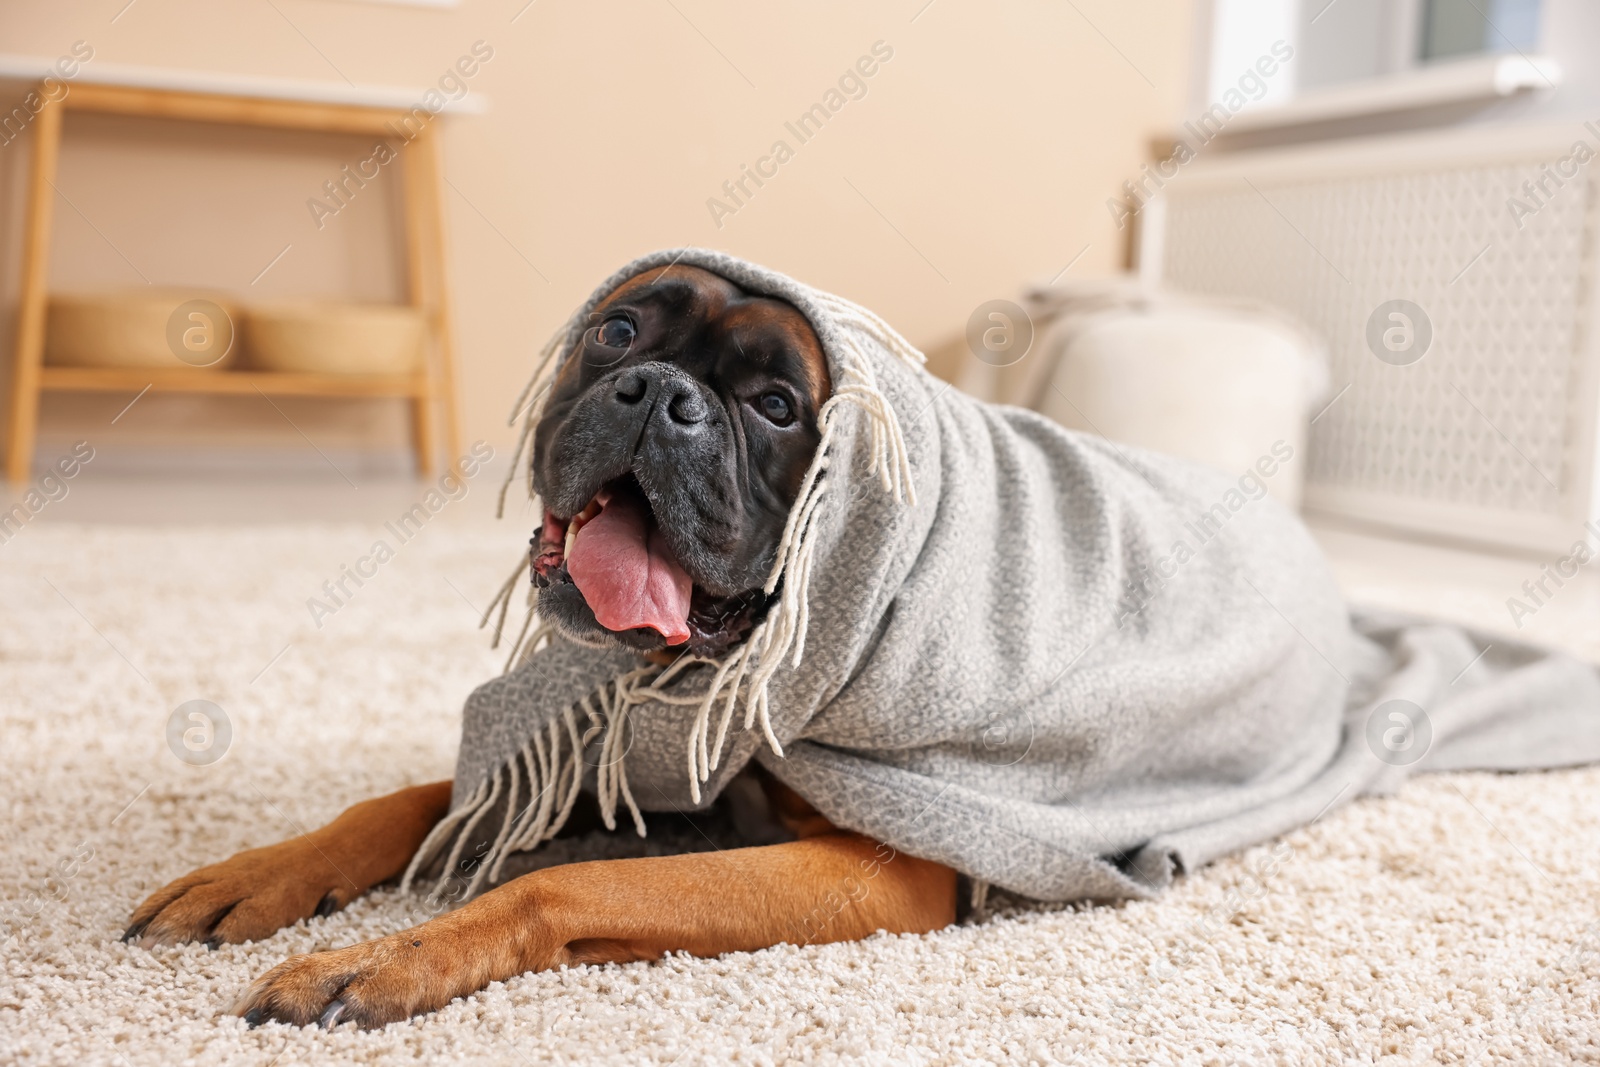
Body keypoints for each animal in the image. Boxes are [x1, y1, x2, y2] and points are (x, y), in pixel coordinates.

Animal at [124, 265, 953, 1023]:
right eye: (616, 331)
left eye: (777, 406)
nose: (662, 393)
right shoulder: (592, 774)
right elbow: (397, 805)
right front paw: (252, 874)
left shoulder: (889, 866)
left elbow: (568, 881)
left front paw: (382, 960)